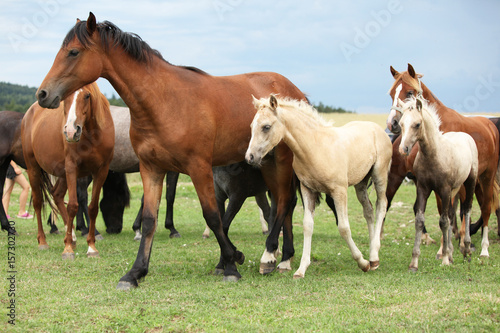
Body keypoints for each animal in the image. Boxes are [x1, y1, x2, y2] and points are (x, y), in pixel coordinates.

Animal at [22, 81, 114, 258]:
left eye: (87, 96)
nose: (71, 131)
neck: (92, 135)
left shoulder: (101, 171)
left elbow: (93, 208)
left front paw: (91, 247)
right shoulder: (72, 167)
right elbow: (72, 206)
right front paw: (68, 249)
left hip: (62, 174)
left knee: (57, 195)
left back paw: (71, 237)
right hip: (33, 168)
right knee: (38, 202)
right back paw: (43, 242)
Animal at [35, 12, 306, 288]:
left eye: (74, 52)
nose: (43, 94)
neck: (164, 101)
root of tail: (295, 90)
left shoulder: (198, 167)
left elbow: (213, 216)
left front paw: (231, 264)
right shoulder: (152, 168)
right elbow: (148, 220)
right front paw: (135, 272)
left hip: (281, 160)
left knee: (284, 203)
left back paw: (271, 255)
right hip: (268, 161)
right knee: (282, 204)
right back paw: (284, 257)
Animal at [246, 94, 394, 278]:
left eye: (266, 127)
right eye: (252, 126)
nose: (250, 157)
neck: (316, 148)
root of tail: (378, 129)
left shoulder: (339, 191)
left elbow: (344, 227)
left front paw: (362, 262)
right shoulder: (307, 189)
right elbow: (307, 226)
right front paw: (301, 269)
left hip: (380, 175)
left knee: (382, 205)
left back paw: (373, 256)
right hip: (360, 183)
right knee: (369, 210)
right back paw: (374, 256)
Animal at [386, 63, 500, 258]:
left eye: (409, 92)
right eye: (392, 93)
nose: (392, 123)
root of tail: (490, 125)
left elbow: (452, 212)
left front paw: (453, 246)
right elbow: (446, 212)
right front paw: (445, 248)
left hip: (487, 176)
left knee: (486, 207)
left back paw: (484, 248)